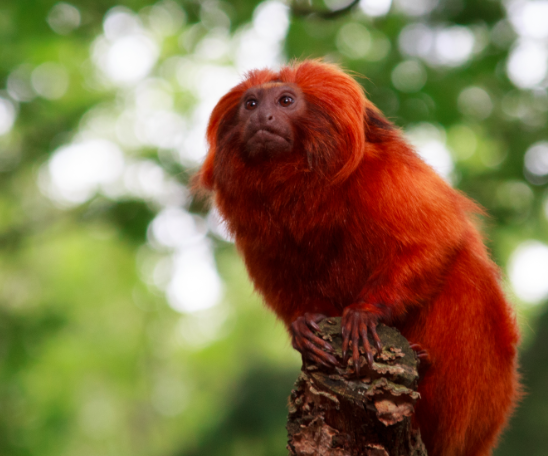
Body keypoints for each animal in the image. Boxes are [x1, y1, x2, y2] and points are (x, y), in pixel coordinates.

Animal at [195, 60, 520, 456]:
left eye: (285, 101)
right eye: (251, 104)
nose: (262, 117)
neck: (300, 185)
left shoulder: (382, 173)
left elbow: (437, 237)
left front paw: (366, 312)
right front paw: (303, 326)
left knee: (464, 276)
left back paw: (424, 361)